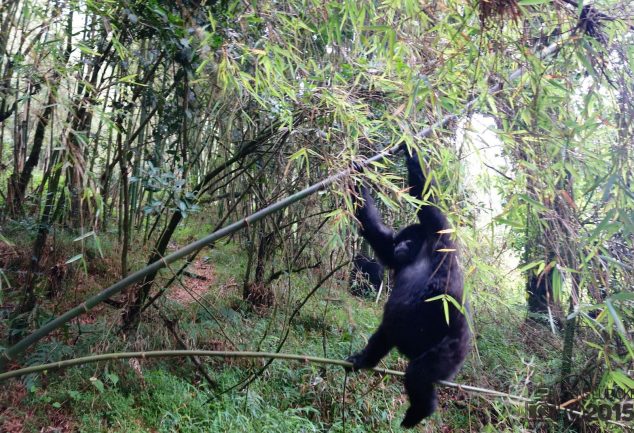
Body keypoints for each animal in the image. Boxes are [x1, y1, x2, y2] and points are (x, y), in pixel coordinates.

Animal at [346, 150, 470, 426]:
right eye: (400, 240)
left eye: (408, 239)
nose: (400, 246)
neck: (419, 252)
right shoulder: (392, 251)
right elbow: (376, 232)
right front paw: (357, 171)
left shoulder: (440, 236)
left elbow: (427, 198)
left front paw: (409, 145)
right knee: (385, 333)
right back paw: (364, 359)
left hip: (452, 352)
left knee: (419, 374)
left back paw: (421, 409)